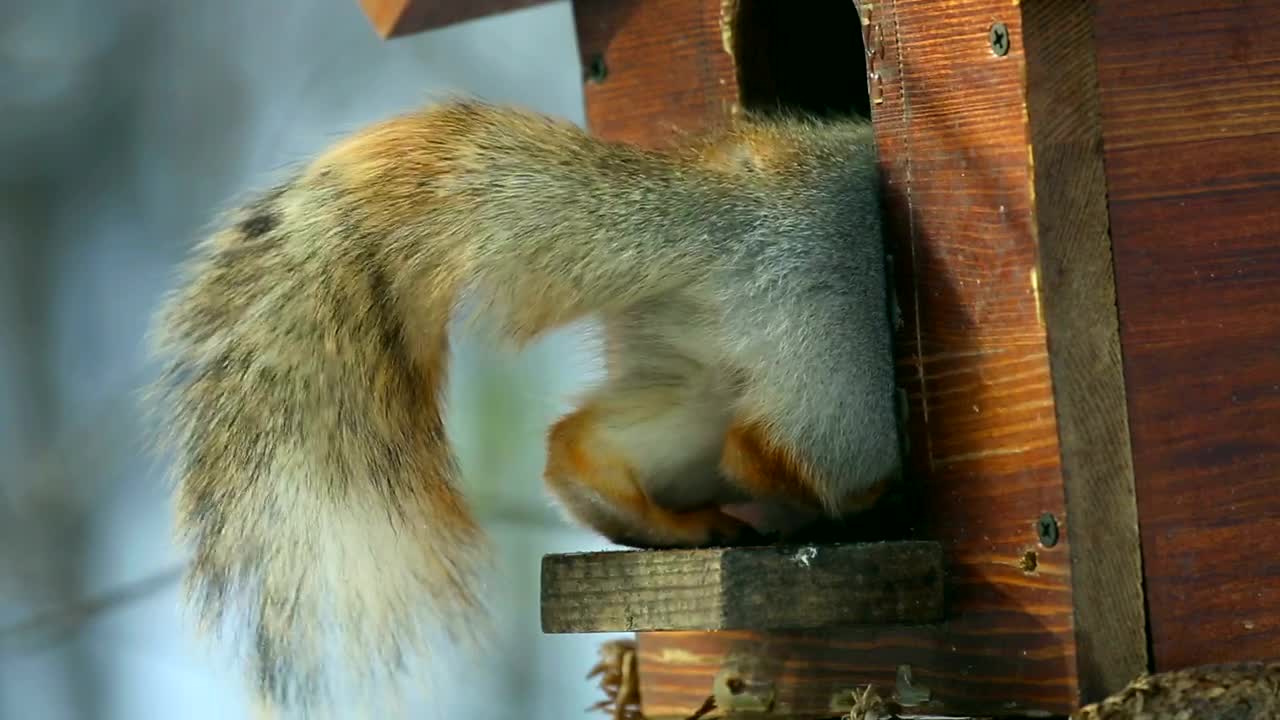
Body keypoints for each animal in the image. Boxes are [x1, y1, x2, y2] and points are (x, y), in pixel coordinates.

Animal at [149, 98, 901, 707]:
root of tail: (748, 228)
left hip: (703, 376)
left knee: (595, 443)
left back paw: (642, 513)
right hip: (845, 387)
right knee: (772, 456)